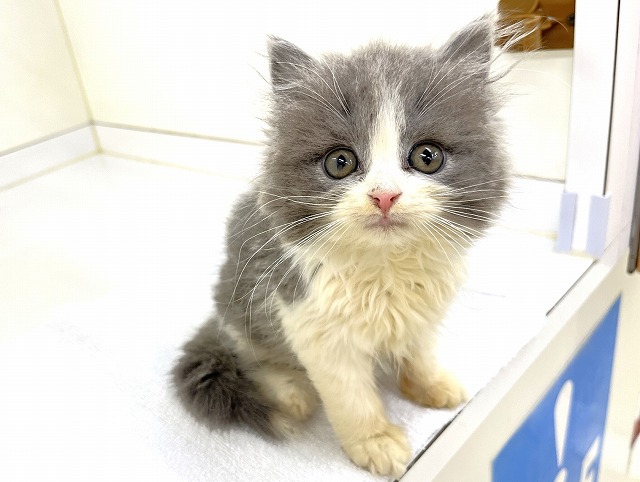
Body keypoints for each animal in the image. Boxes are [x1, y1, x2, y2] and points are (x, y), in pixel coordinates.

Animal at [172, 17, 510, 477]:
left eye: (427, 157)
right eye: (340, 162)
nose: (384, 196)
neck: (386, 269)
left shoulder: (425, 306)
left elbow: (420, 353)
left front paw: (430, 385)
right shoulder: (311, 319)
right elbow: (353, 399)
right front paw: (375, 442)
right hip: (241, 302)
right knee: (251, 353)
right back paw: (291, 391)